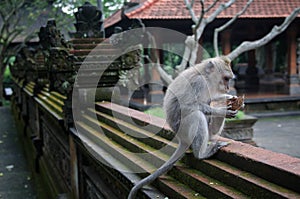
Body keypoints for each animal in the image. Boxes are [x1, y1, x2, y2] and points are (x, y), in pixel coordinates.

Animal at [127, 56, 238, 199]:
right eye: (226, 78)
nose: (228, 88)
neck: (205, 76)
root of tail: (181, 138)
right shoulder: (198, 83)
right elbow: (187, 106)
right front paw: (222, 110)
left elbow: (211, 98)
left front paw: (229, 98)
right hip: (183, 128)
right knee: (197, 115)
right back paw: (201, 154)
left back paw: (211, 136)